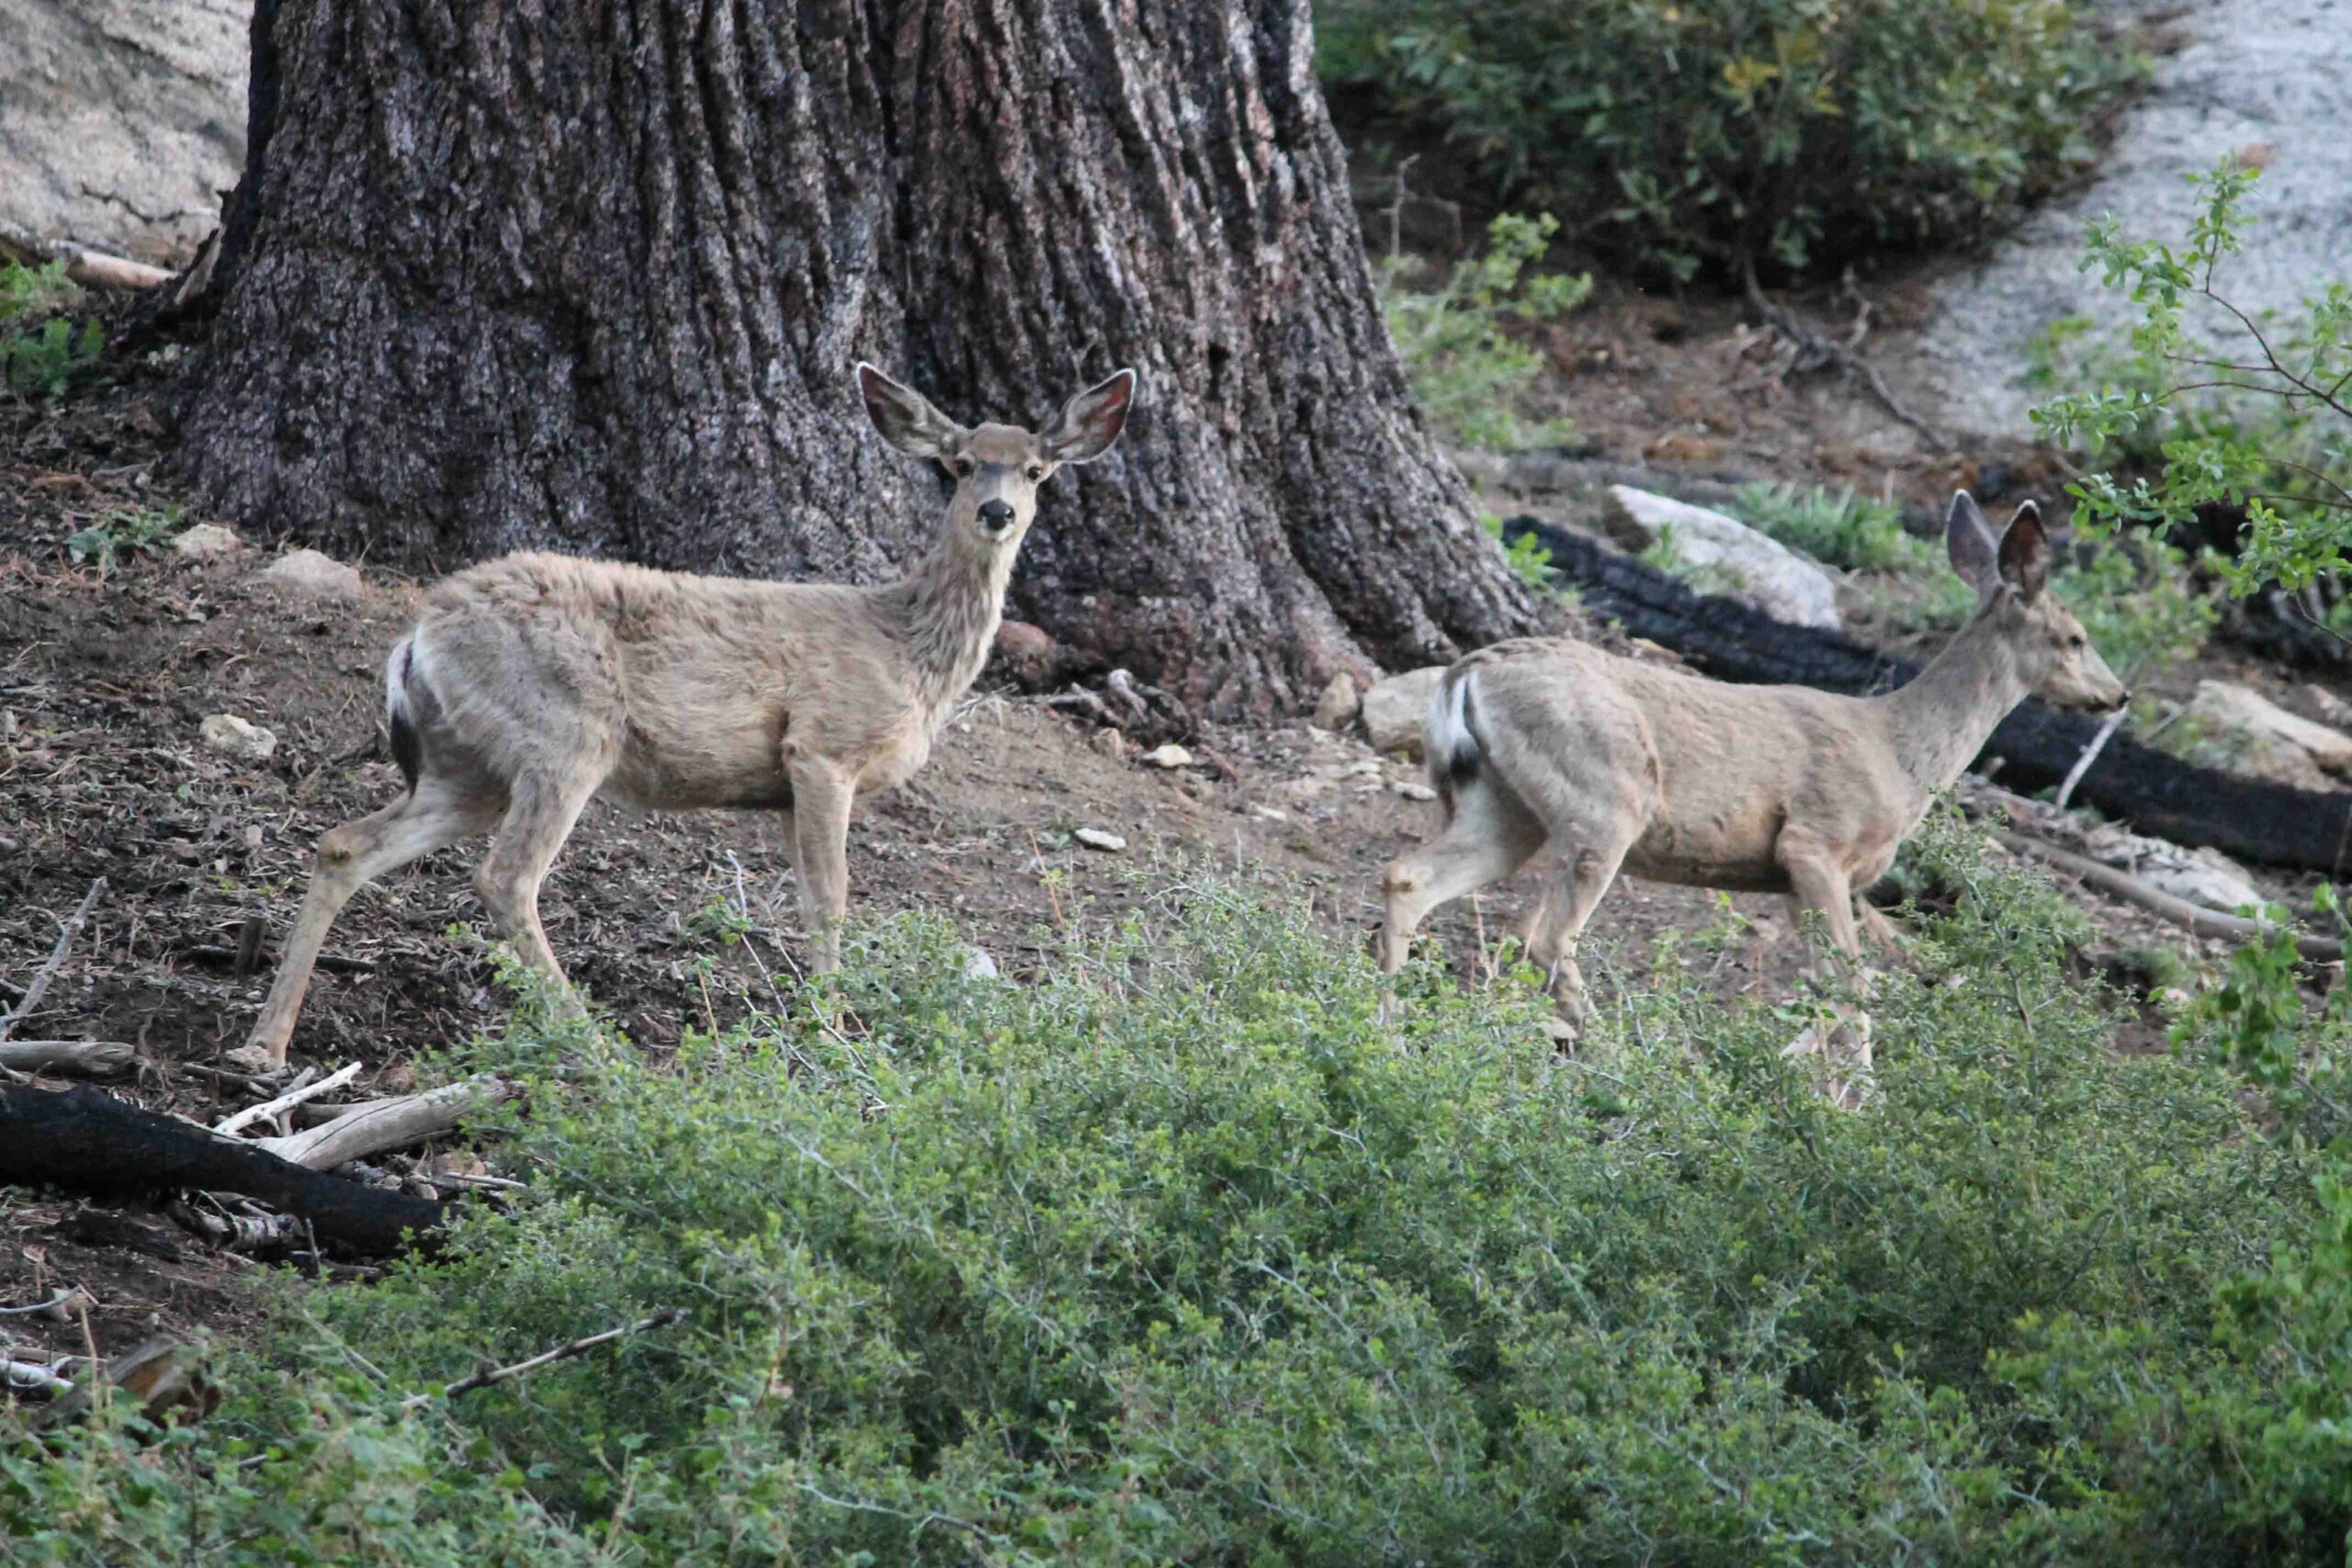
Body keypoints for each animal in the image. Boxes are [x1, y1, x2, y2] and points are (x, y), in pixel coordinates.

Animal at [227, 364, 1137, 1070]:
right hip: (565, 734)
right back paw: (593, 1041)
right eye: (959, 463)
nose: (997, 512)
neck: (907, 648)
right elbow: (831, 900)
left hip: (468, 766)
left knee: (346, 842)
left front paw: (820, 1017)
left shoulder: (785, 788)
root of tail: (418, 634)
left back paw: (265, 1045)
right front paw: (835, 1031)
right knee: (504, 876)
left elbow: (806, 898)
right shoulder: (822, 747)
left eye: (1037, 470)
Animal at [1378, 492, 2128, 1096]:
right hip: (1603, 800)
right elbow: (1854, 982)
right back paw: (1621, 1059)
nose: (2118, 694)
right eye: (2075, 637)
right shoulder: (1816, 844)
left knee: (1411, 876)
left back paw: (1390, 1026)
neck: (1902, 753)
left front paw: (1796, 1072)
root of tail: (1466, 674)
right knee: (1544, 934)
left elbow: (1827, 987)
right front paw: (1864, 1100)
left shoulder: (1790, 880)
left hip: (1503, 807)